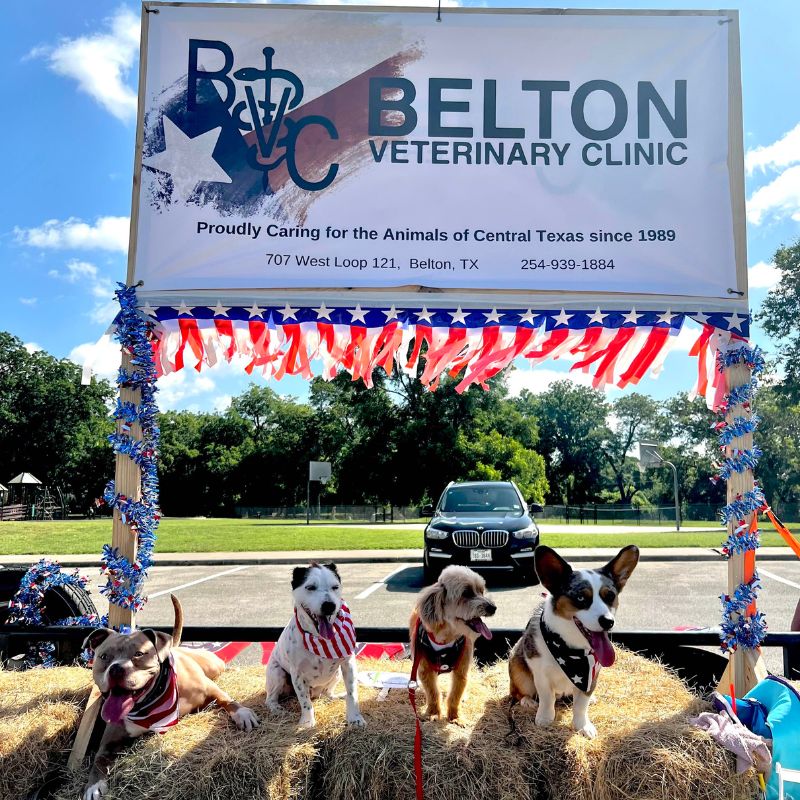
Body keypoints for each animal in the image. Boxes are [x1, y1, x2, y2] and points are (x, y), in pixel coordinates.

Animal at [81, 596, 258, 796]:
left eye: (139, 654)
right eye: (104, 657)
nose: (116, 669)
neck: (148, 704)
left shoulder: (209, 687)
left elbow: (226, 698)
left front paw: (243, 713)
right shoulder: (108, 744)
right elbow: (98, 760)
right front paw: (94, 786)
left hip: (213, 666)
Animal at [266, 560, 366, 728]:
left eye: (335, 587)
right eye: (310, 587)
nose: (329, 605)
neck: (320, 639)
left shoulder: (348, 664)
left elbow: (352, 694)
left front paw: (355, 718)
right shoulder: (297, 674)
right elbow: (305, 702)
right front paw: (307, 722)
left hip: (336, 674)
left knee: (327, 693)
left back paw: (336, 696)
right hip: (277, 673)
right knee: (270, 699)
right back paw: (277, 709)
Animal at [412, 564, 494, 724]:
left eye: (481, 591)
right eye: (466, 593)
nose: (493, 607)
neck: (447, 636)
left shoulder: (461, 669)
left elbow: (455, 694)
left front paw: (455, 717)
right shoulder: (425, 669)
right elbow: (432, 693)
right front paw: (433, 713)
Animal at [510, 544, 640, 736]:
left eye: (610, 596)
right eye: (580, 598)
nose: (608, 622)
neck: (571, 648)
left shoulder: (591, 675)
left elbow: (580, 705)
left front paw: (583, 726)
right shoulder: (540, 673)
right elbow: (546, 698)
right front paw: (545, 718)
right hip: (517, 668)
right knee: (518, 692)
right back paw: (527, 700)